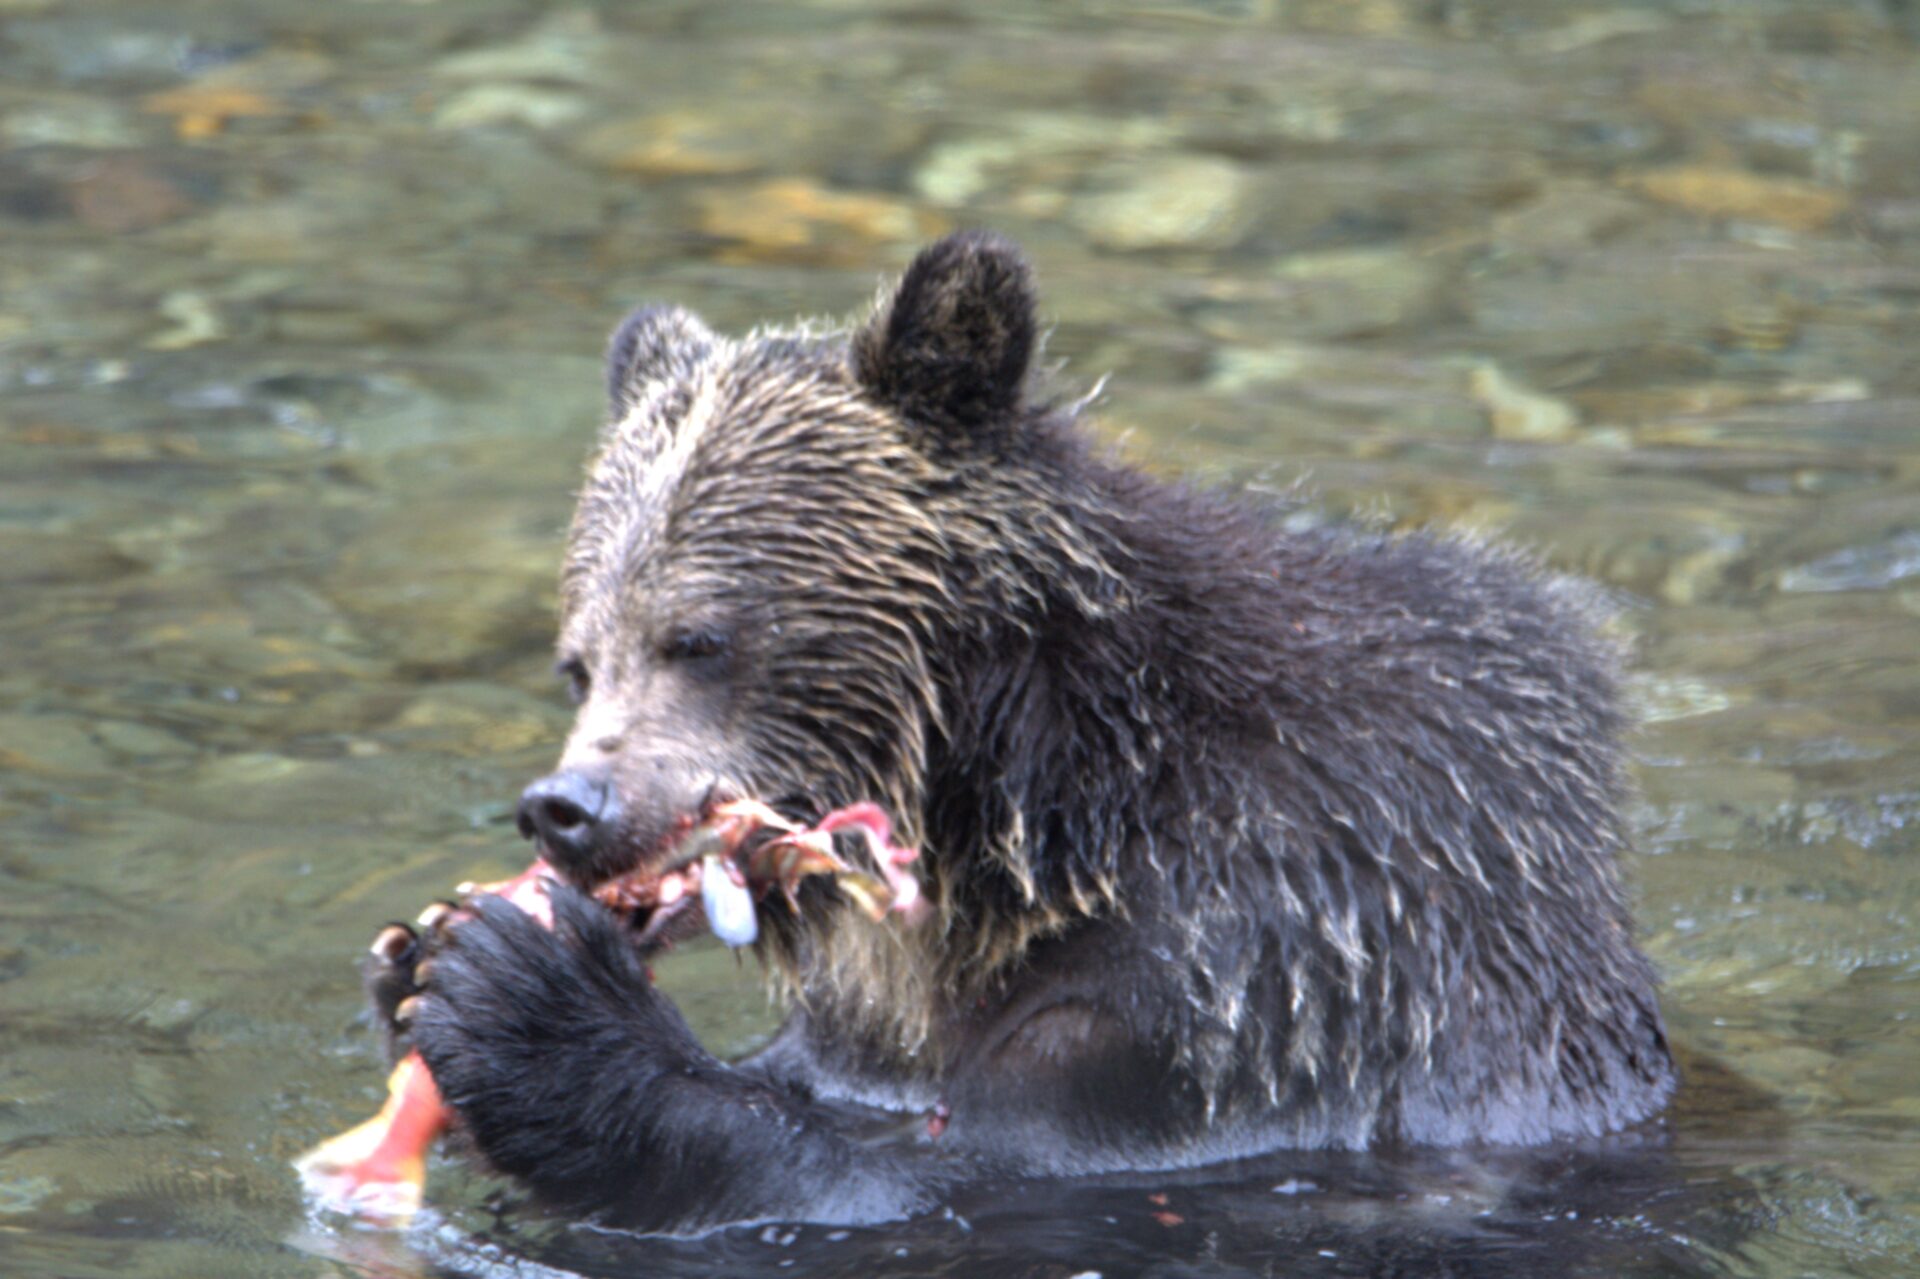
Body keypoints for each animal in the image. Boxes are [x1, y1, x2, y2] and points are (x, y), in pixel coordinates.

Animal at [369, 231, 1677, 1234]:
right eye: (578, 659)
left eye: (698, 636)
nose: (567, 808)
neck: (1027, 810)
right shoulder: (883, 1018)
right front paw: (409, 965)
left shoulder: (1261, 969)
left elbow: (949, 1174)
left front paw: (522, 993)